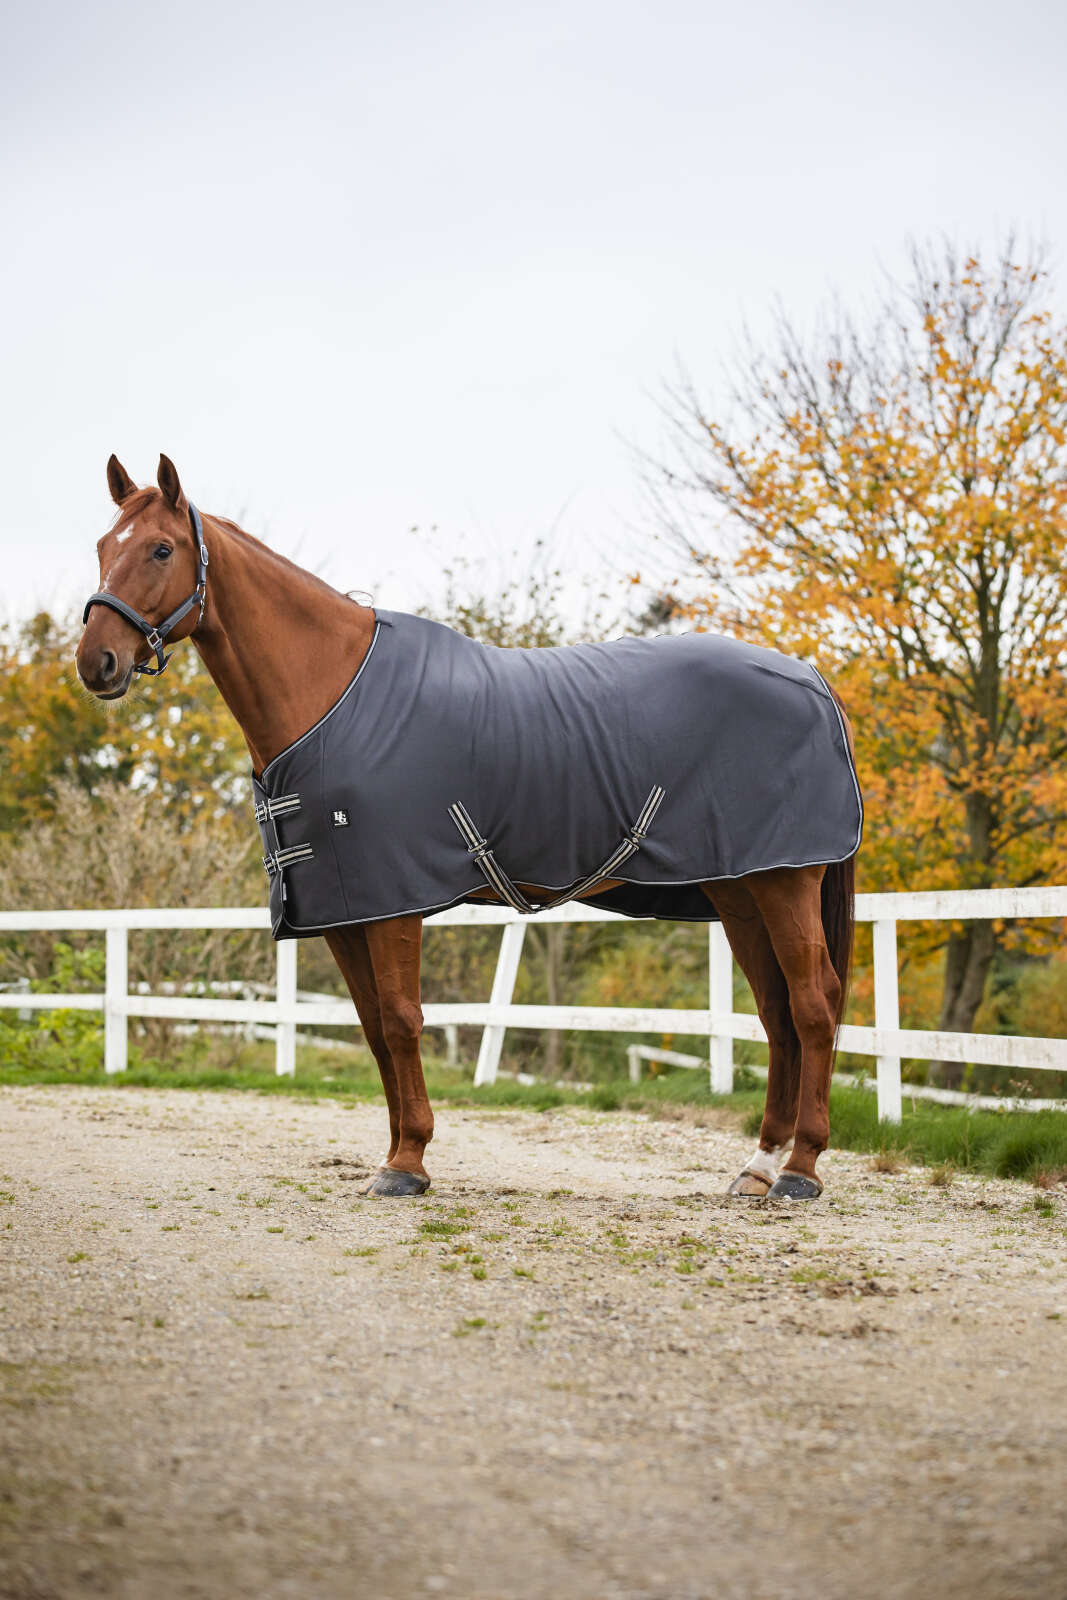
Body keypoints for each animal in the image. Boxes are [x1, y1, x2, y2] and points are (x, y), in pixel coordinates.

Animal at [76, 454, 859, 1202]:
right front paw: (398, 1152)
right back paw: (757, 1167)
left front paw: (407, 1163)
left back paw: (801, 1171)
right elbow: (373, 1030)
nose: (96, 662)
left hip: (785, 881)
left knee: (813, 1005)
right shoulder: (344, 910)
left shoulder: (393, 904)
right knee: (776, 1012)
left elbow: (400, 1020)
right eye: (102, 546)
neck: (331, 693)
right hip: (740, 890)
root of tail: (810, 678)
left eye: (161, 549)